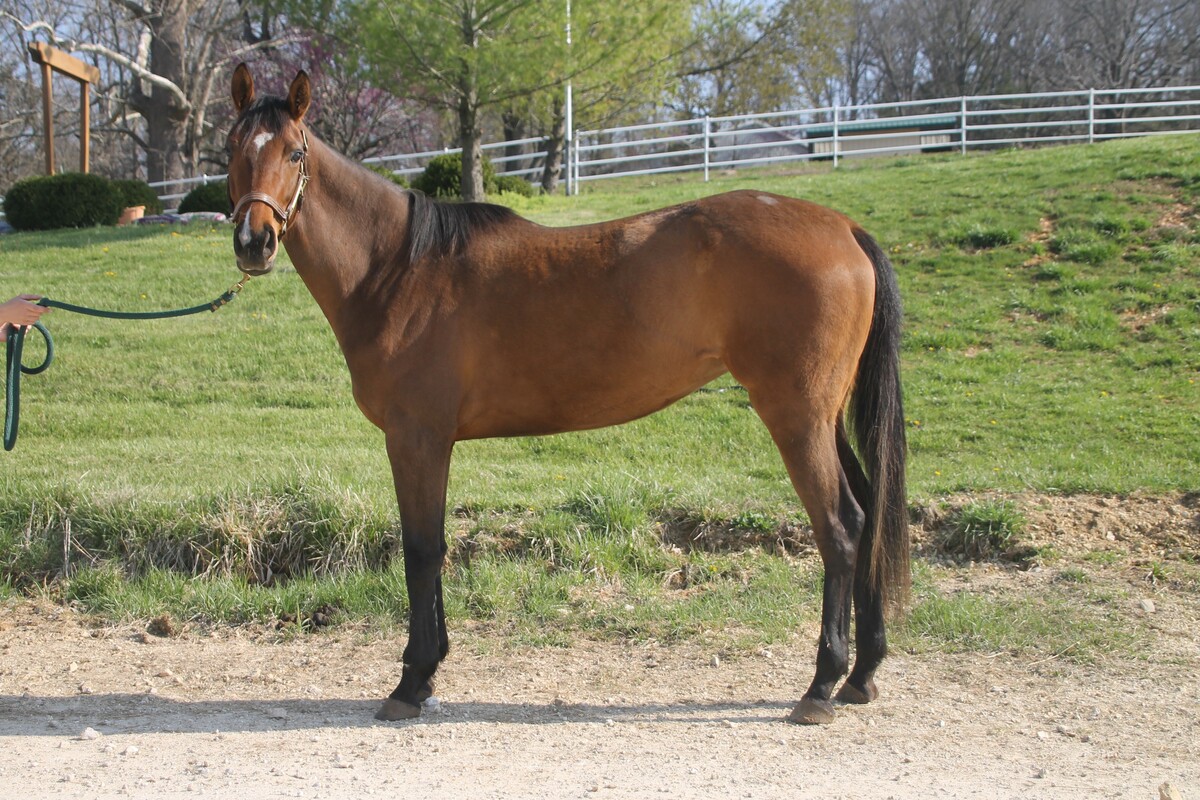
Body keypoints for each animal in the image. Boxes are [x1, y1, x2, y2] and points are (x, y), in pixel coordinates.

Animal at [224, 64, 908, 725]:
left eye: (293, 151)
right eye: (233, 147)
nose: (254, 242)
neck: (399, 269)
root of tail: (844, 229)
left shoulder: (415, 438)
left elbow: (420, 551)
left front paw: (411, 682)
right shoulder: (432, 442)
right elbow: (436, 548)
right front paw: (428, 673)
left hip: (796, 415)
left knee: (841, 527)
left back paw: (821, 685)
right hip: (824, 418)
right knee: (870, 513)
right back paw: (863, 674)